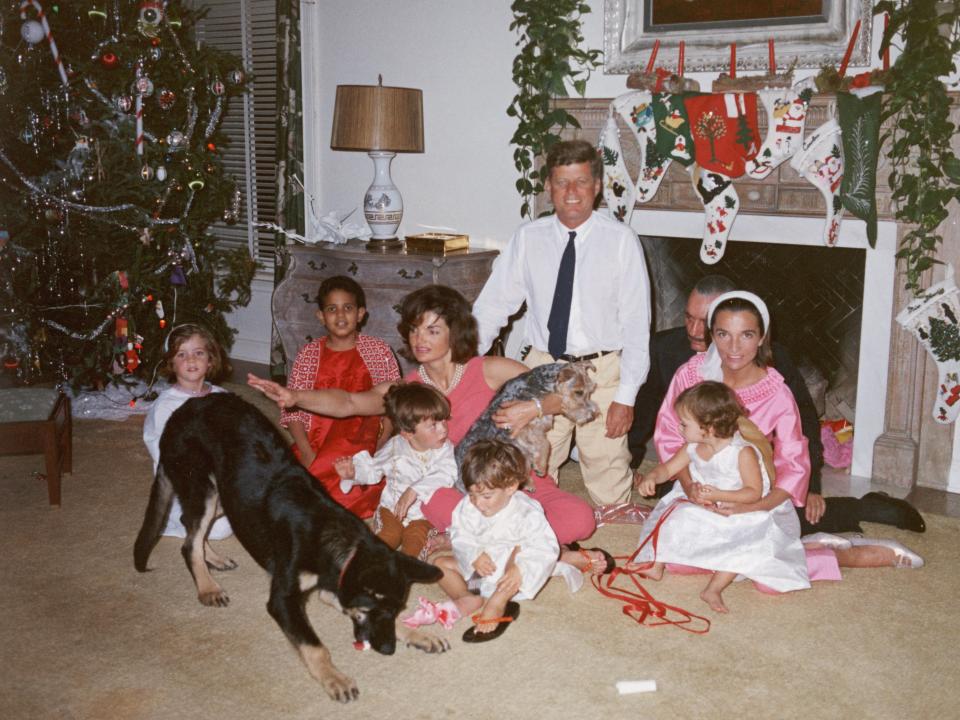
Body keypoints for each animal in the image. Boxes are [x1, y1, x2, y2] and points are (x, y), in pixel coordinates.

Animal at [458, 360, 600, 484]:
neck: (539, 385)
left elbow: (543, 446)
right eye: (578, 392)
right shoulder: (526, 429)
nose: (592, 415)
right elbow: (546, 445)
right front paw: (541, 467)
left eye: (591, 390)